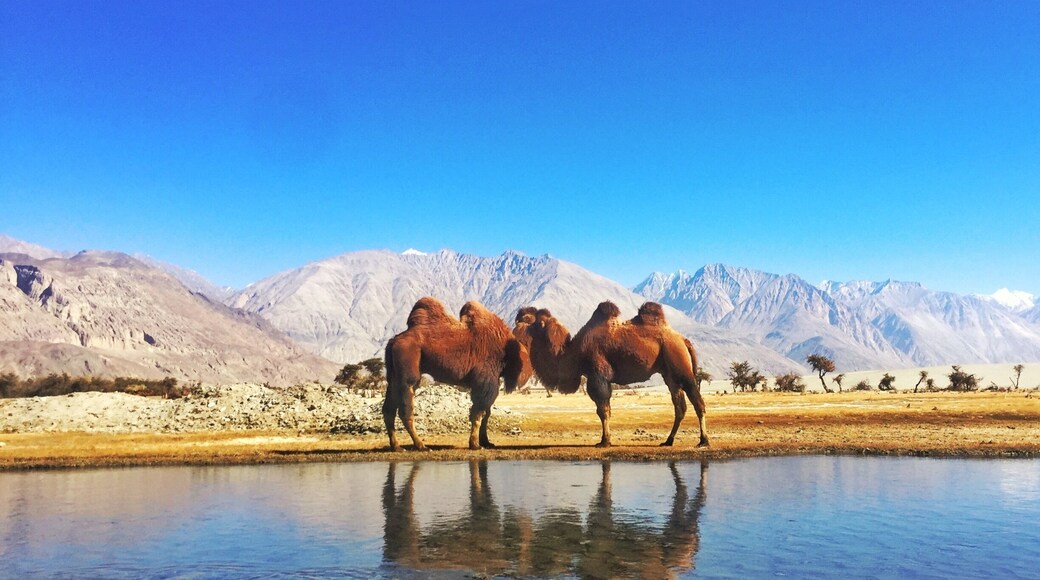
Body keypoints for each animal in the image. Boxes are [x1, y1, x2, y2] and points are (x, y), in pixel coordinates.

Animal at [383, 297, 532, 451]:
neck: (506, 347)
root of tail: (393, 341)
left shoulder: (490, 383)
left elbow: (486, 413)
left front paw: (486, 442)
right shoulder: (485, 382)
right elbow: (478, 414)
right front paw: (475, 444)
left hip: (393, 377)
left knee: (388, 410)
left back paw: (396, 446)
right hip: (408, 376)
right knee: (405, 410)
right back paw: (421, 445)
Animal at [514, 301, 708, 447]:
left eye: (526, 320)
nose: (514, 330)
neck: (574, 352)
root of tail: (684, 340)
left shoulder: (597, 374)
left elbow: (603, 410)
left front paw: (605, 441)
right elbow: (605, 409)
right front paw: (604, 439)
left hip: (679, 363)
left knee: (698, 402)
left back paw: (703, 441)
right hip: (668, 373)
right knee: (679, 406)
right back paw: (668, 441)